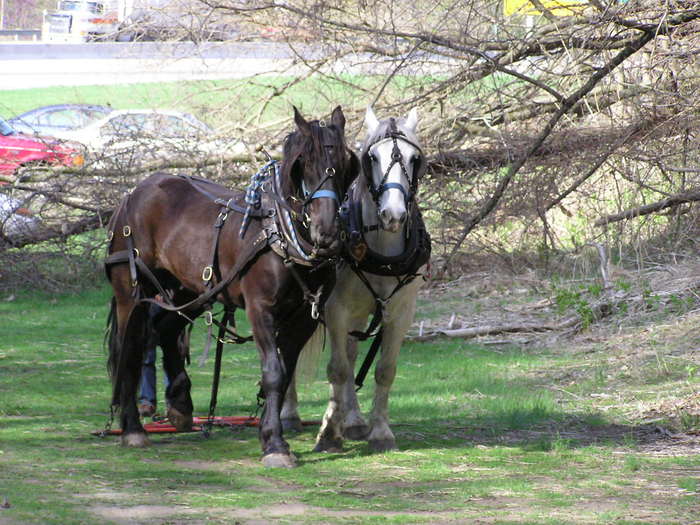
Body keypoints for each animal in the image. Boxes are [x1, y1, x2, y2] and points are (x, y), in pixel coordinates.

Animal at [106, 106, 358, 466]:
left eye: (346, 163)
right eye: (302, 164)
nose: (326, 232)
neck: (279, 230)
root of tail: (133, 193)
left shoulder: (304, 317)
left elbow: (285, 372)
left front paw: (268, 434)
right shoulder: (260, 309)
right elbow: (274, 372)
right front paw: (276, 445)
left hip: (188, 289)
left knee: (166, 329)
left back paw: (180, 406)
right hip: (131, 293)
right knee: (131, 349)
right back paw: (132, 429)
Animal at [284, 106, 426, 450]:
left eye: (415, 159)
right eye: (371, 157)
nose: (393, 215)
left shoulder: (401, 312)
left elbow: (384, 370)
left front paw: (380, 431)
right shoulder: (335, 309)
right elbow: (337, 370)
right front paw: (327, 433)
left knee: (349, 354)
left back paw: (353, 420)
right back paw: (290, 414)